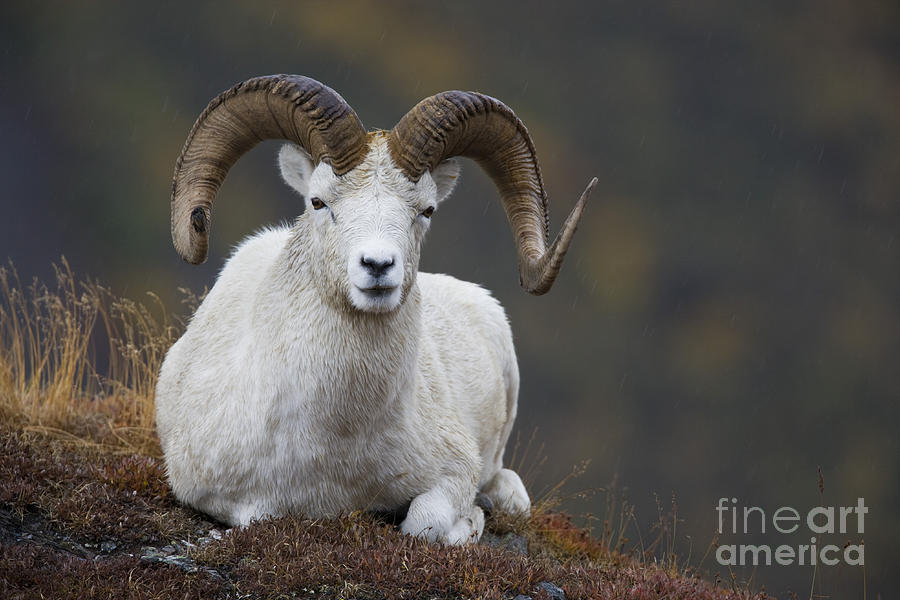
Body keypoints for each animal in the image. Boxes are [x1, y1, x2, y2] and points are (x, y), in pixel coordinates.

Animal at [155, 75, 596, 544]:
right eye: (318, 202)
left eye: (426, 209)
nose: (379, 265)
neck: (338, 439)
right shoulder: (228, 499)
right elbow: (262, 515)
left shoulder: (454, 470)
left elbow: (424, 524)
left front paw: (471, 521)